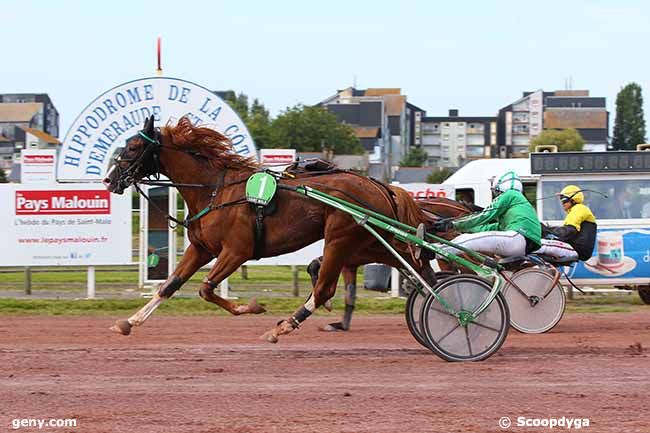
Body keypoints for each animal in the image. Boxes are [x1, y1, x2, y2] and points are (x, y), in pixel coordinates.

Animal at [104, 115, 432, 340]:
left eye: (134, 147)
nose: (109, 180)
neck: (216, 190)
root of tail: (379, 186)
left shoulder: (236, 251)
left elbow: (206, 289)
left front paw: (252, 307)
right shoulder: (201, 248)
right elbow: (169, 285)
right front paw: (129, 322)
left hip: (340, 240)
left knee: (324, 289)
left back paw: (285, 325)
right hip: (368, 242)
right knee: (414, 264)